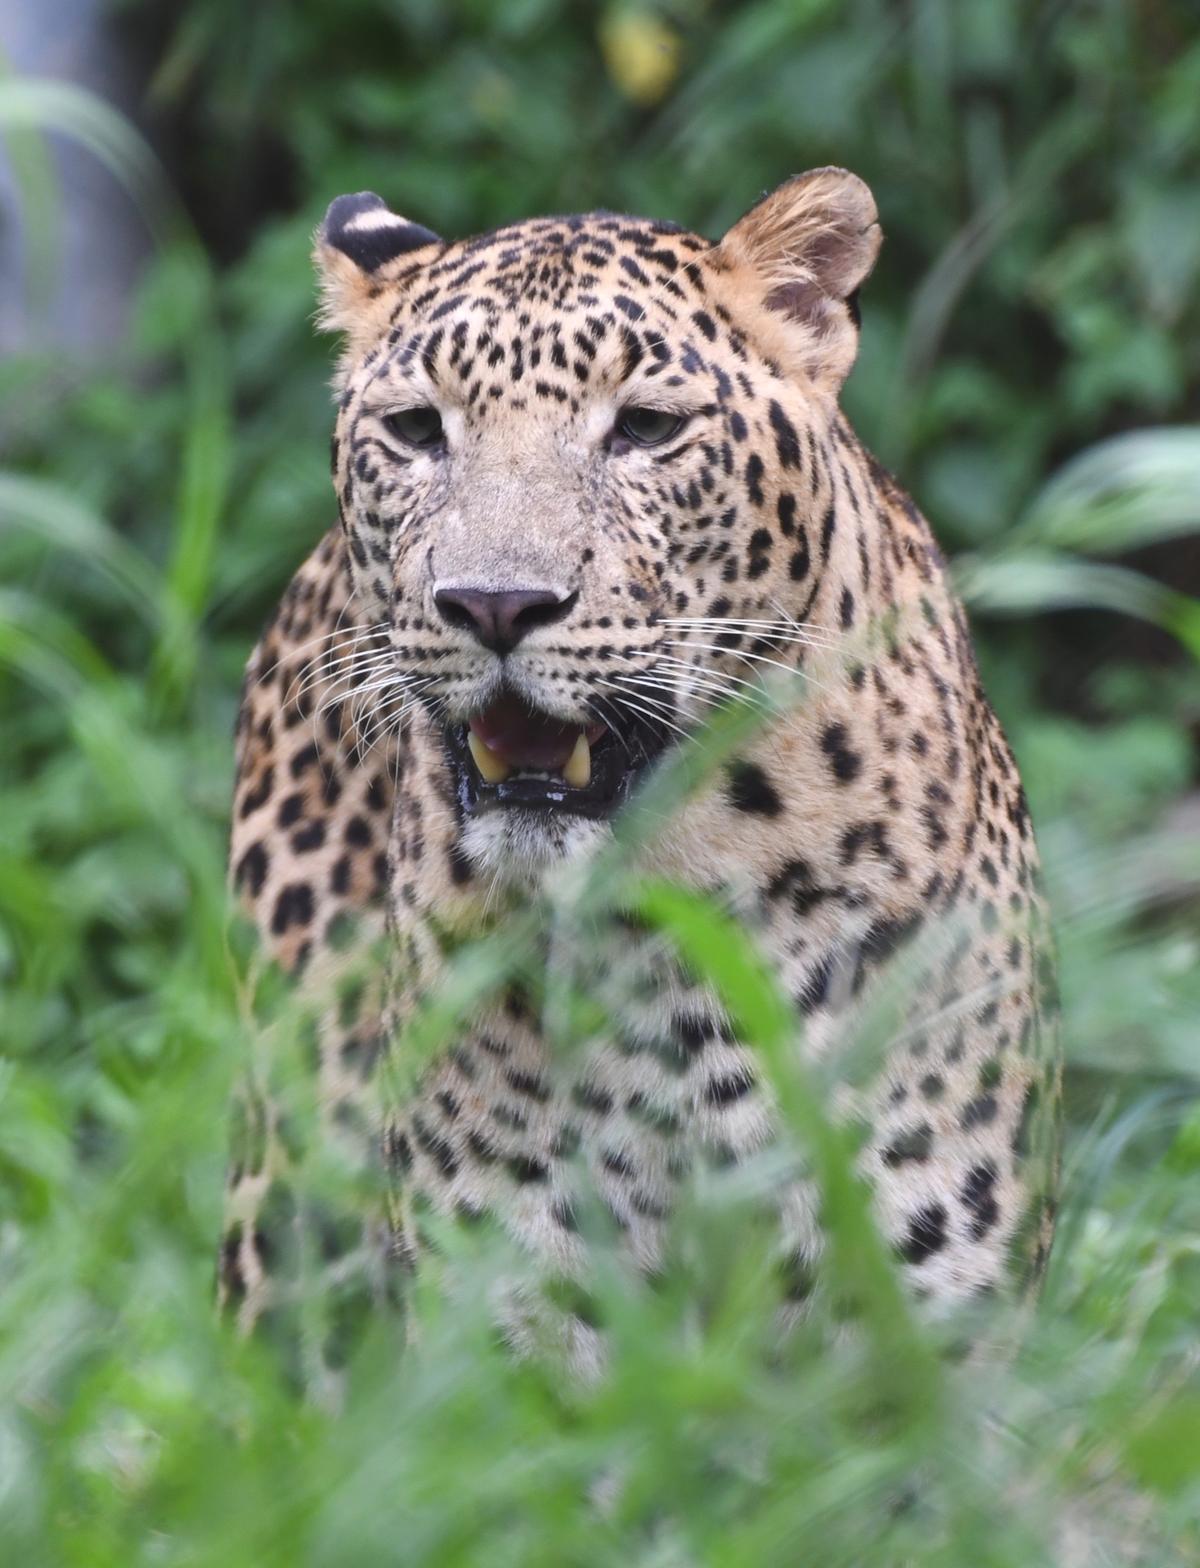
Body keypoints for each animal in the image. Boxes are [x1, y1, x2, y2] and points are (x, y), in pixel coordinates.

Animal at [219, 168, 1061, 1376]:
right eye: (417, 429)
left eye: (647, 429)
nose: (494, 604)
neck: (664, 928)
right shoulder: (513, 1322)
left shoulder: (941, 1325)